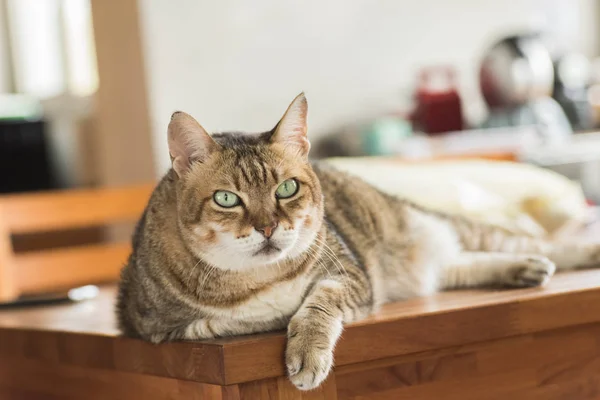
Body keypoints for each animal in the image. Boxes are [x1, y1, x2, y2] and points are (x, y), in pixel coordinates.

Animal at [116, 93, 600, 390]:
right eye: (226, 199)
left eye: (287, 189)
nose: (268, 228)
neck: (259, 277)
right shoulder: (161, 329)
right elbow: (228, 320)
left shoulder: (349, 272)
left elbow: (318, 304)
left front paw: (307, 350)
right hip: (434, 264)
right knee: (461, 264)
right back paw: (522, 269)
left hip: (448, 227)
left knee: (534, 244)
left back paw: (568, 255)